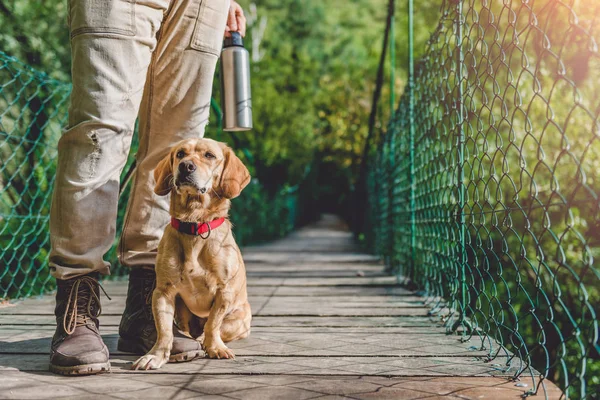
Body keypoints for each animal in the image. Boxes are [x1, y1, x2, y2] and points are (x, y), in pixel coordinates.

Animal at [132, 138, 252, 372]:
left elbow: (213, 323)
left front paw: (215, 348)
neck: (195, 224)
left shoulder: (224, 293)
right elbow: (164, 330)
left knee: (211, 330)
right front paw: (156, 355)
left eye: (209, 155)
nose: (186, 166)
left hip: (237, 320)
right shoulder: (163, 293)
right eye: (180, 154)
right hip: (182, 313)